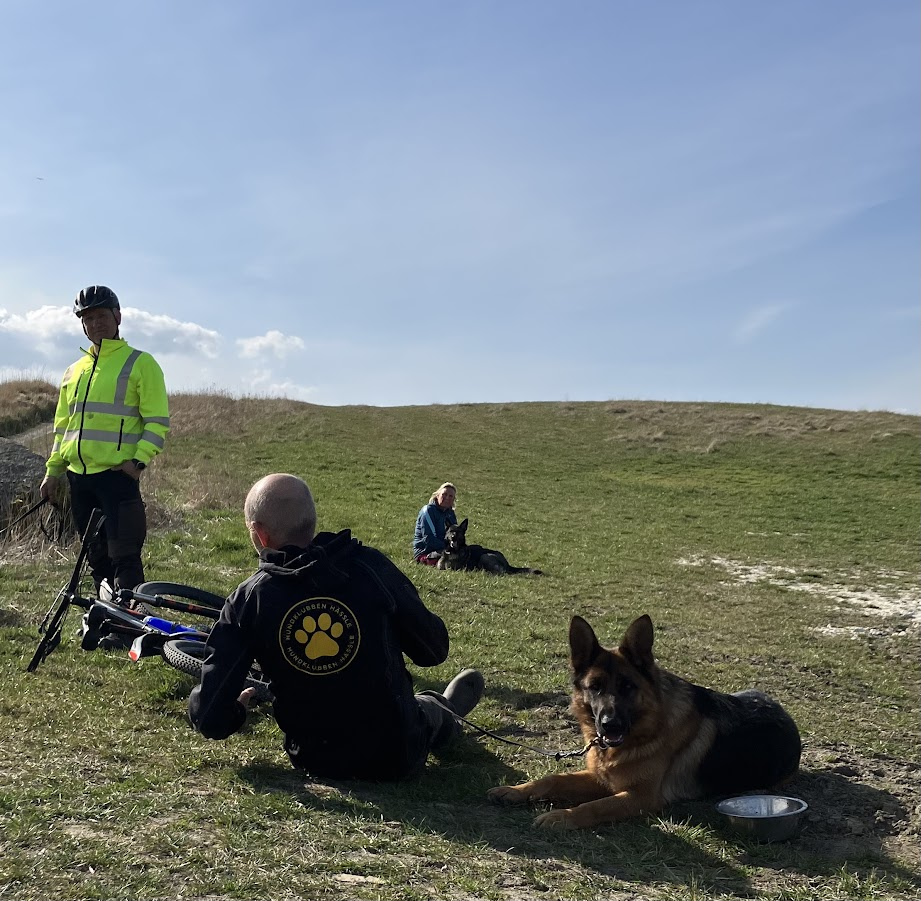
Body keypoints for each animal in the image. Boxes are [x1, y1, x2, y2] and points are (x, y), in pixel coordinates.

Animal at [488, 613, 801, 828]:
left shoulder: (640, 796)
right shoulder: (603, 779)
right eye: (595, 687)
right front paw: (515, 791)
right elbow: (553, 779)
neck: (646, 728)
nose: (610, 725)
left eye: (628, 686)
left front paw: (561, 817)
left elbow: (595, 807)